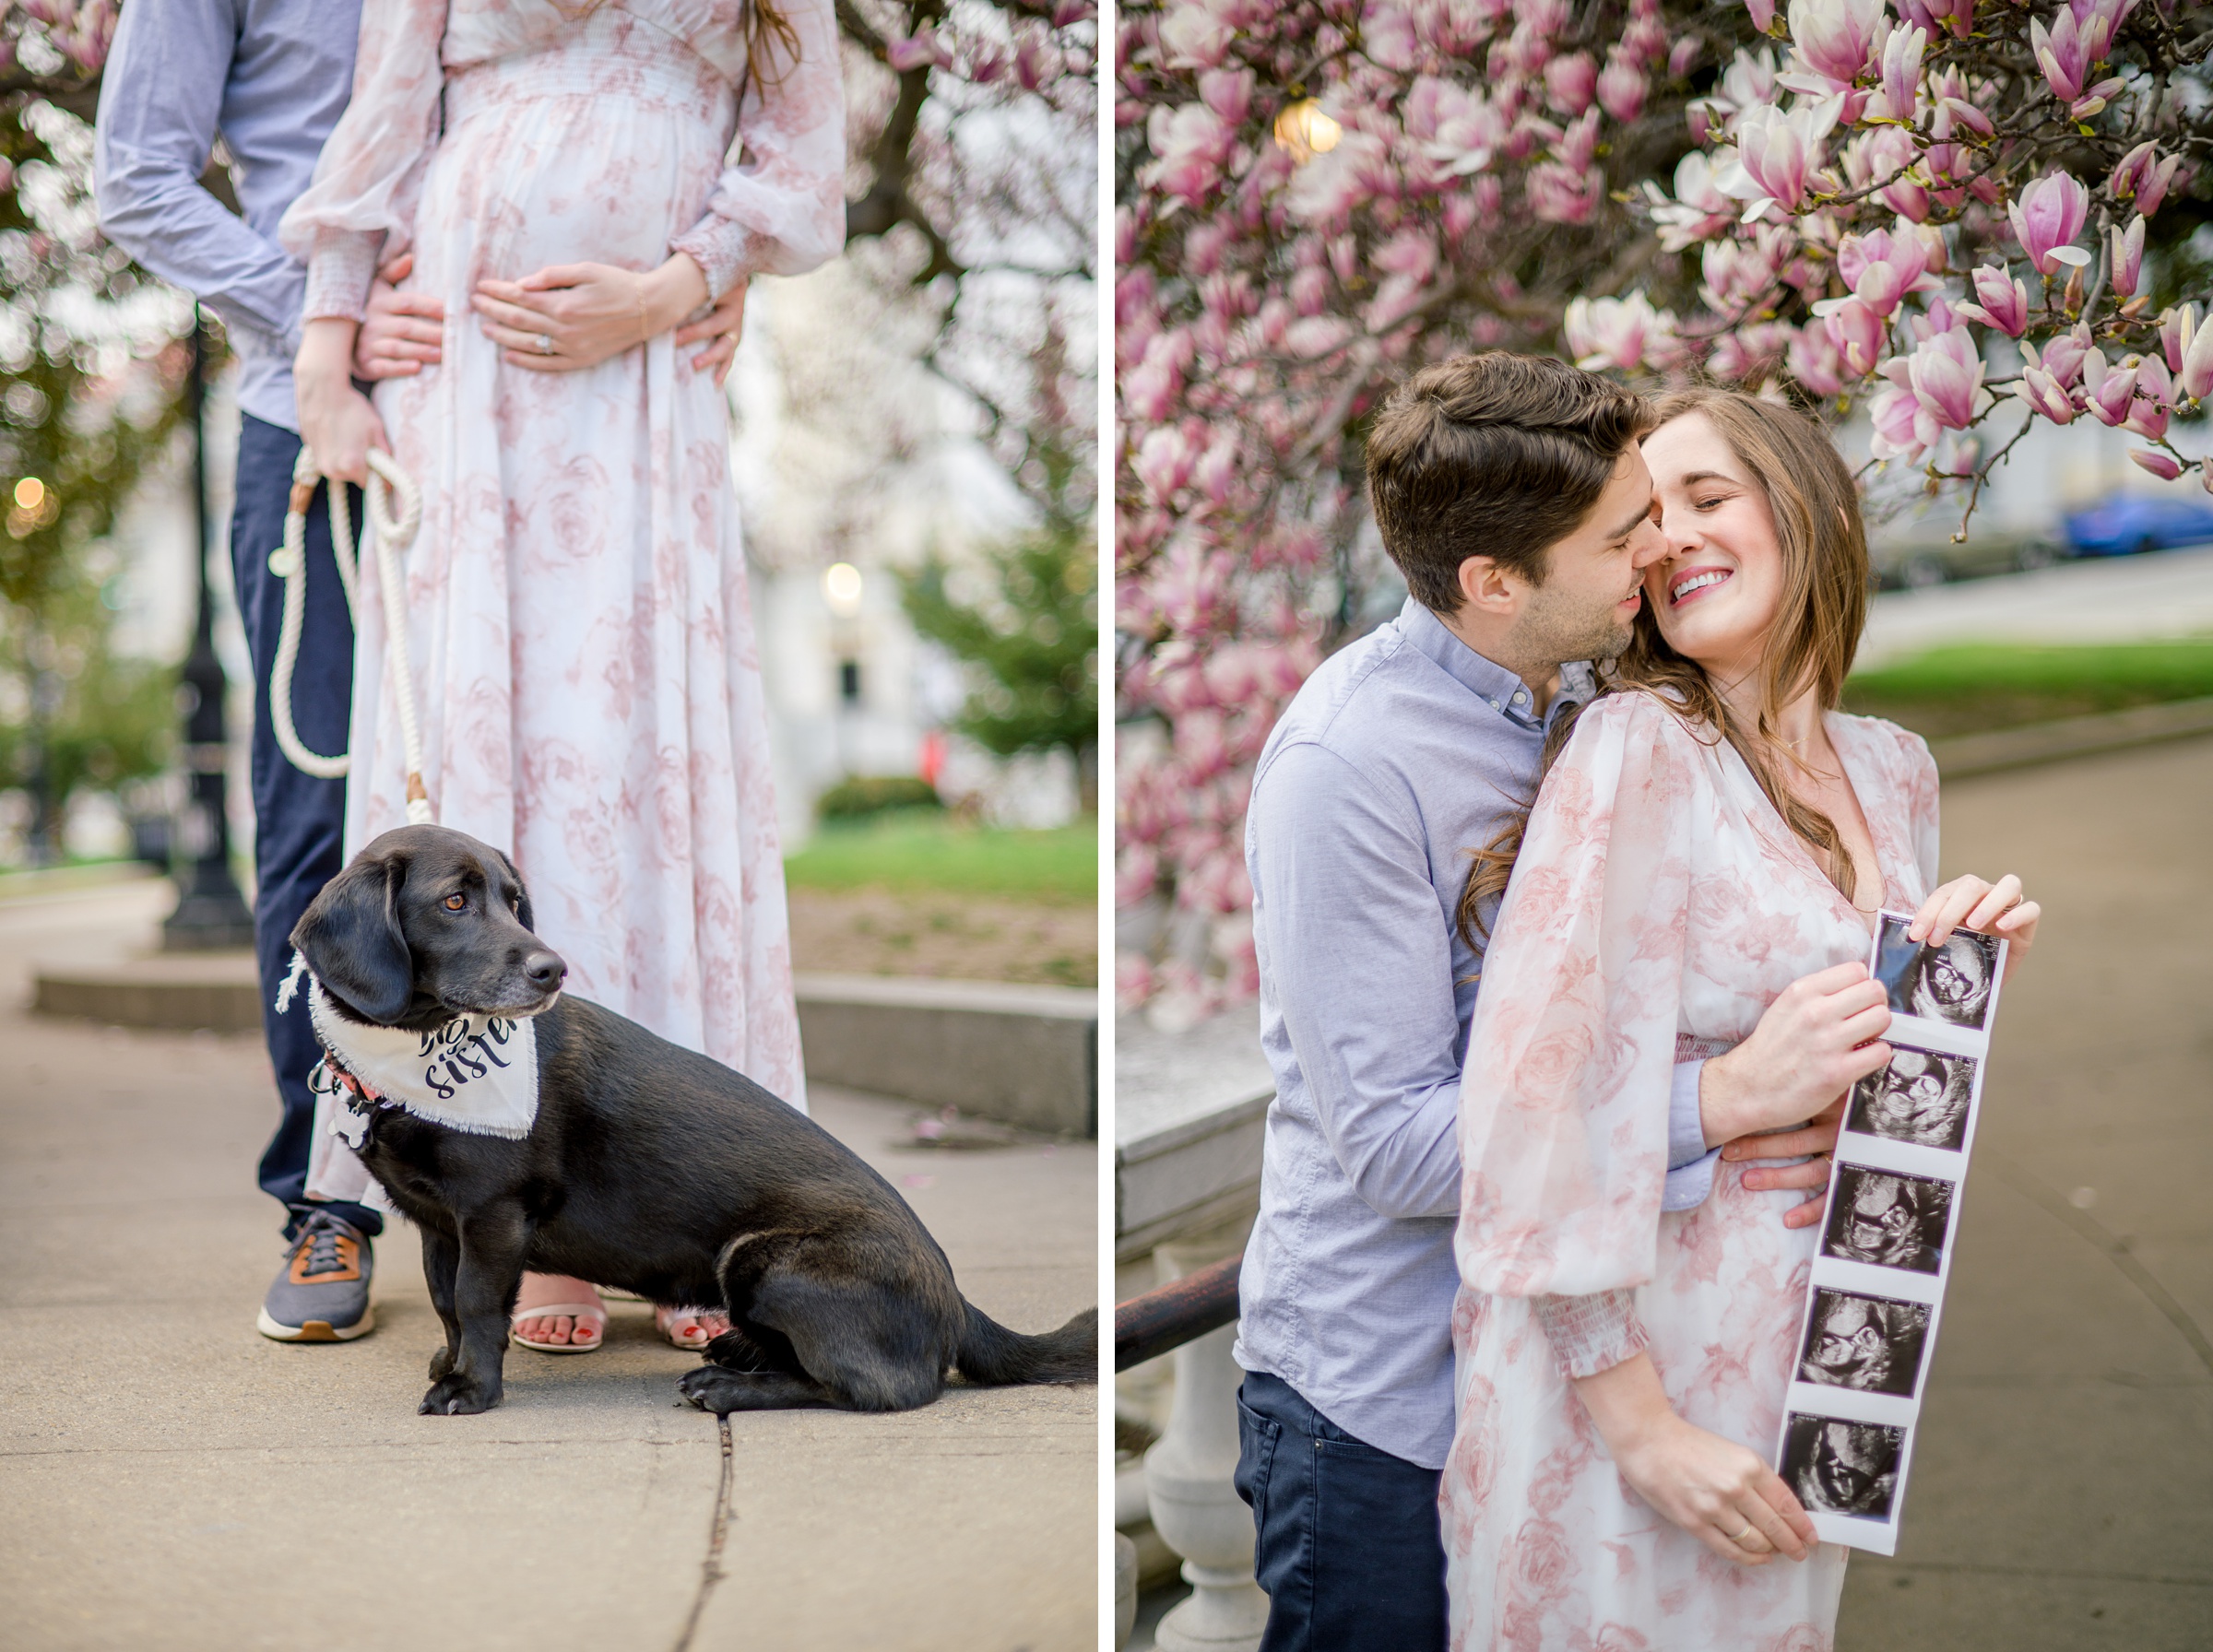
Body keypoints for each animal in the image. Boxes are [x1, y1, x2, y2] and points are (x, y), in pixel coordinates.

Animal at [290, 827, 1102, 1423]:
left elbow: (477, 1304)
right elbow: (443, 1302)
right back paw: (739, 1353)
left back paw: (731, 1386)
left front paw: (472, 1389)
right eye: (455, 901)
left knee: (876, 1389)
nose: (553, 970)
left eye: (515, 903)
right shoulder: (436, 1222)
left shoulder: (491, 1215)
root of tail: (957, 1304)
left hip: (762, 1262)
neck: (419, 1053)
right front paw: (449, 1365)